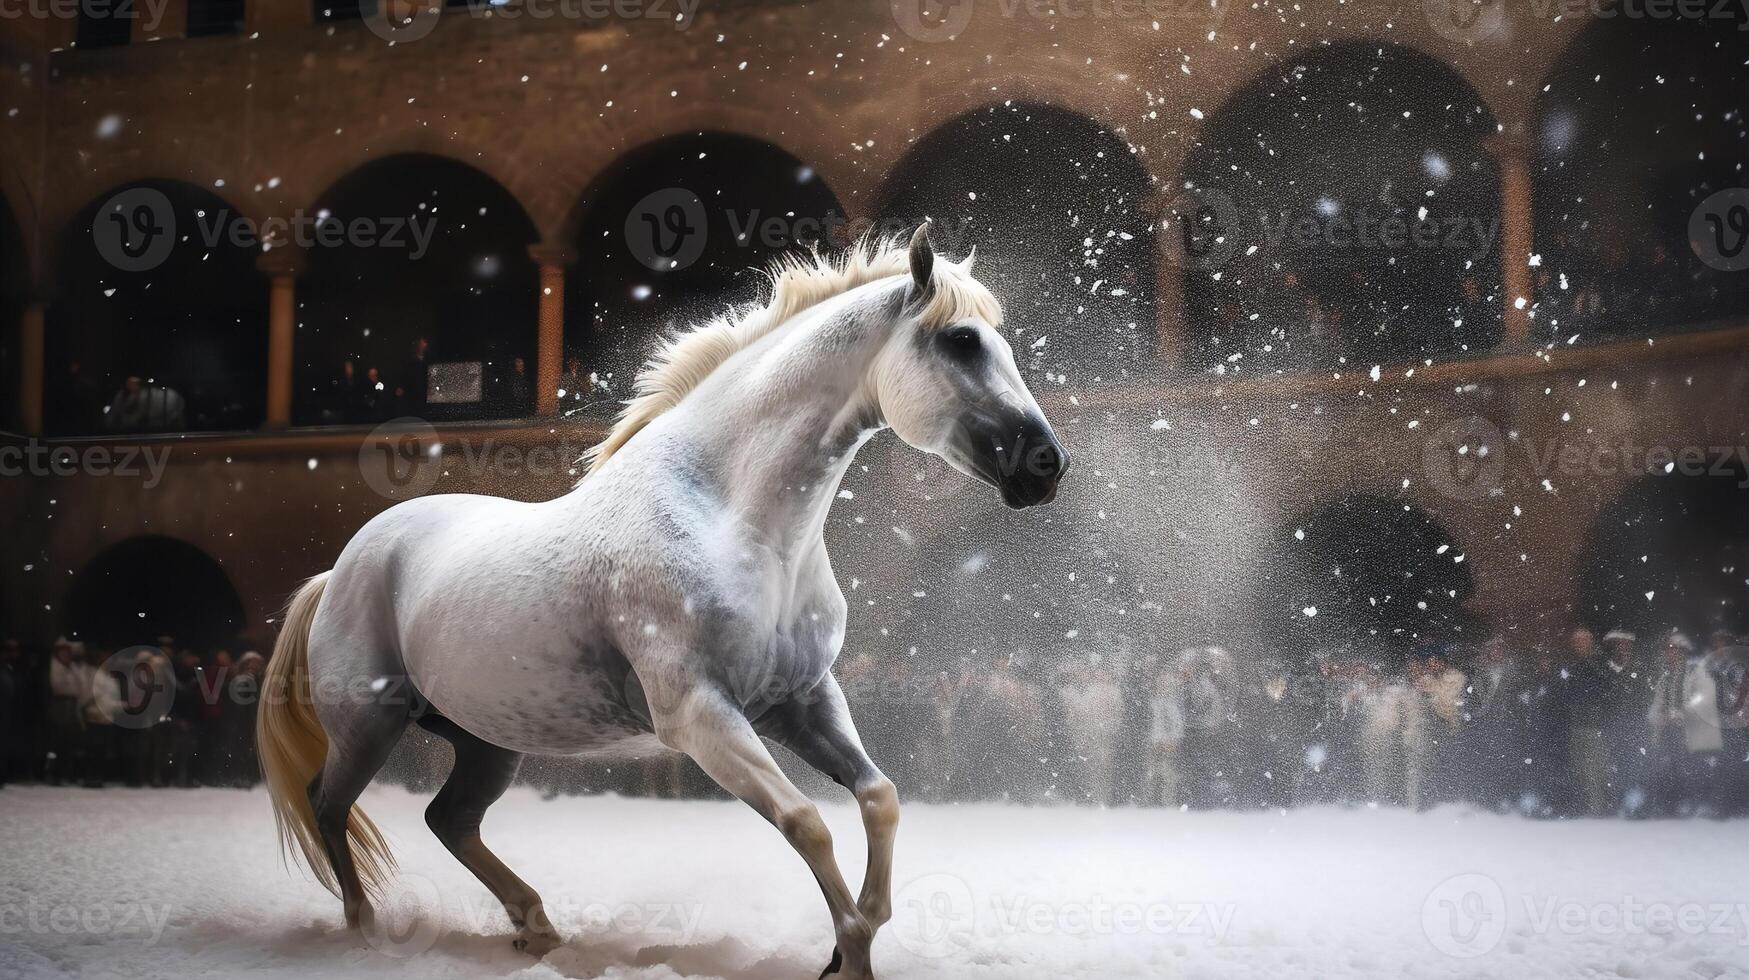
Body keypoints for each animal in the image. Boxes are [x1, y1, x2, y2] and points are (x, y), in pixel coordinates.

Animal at [257, 225, 1063, 973]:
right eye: (961, 340)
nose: (1046, 465)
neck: (727, 517)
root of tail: (340, 570)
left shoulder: (801, 699)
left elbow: (880, 798)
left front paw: (851, 943)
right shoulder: (701, 716)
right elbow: (806, 820)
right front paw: (849, 952)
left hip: (486, 740)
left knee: (448, 820)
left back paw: (536, 927)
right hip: (369, 723)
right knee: (327, 805)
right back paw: (364, 930)